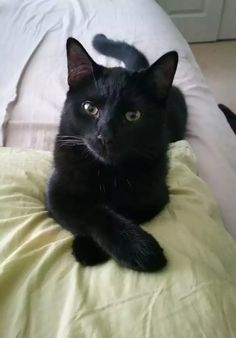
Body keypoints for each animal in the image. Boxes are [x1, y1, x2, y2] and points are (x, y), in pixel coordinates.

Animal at [45, 34, 187, 272]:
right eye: (89, 108)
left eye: (133, 115)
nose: (105, 137)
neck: (106, 172)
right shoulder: (56, 192)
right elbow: (89, 211)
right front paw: (139, 249)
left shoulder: (154, 196)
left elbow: (122, 208)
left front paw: (96, 248)